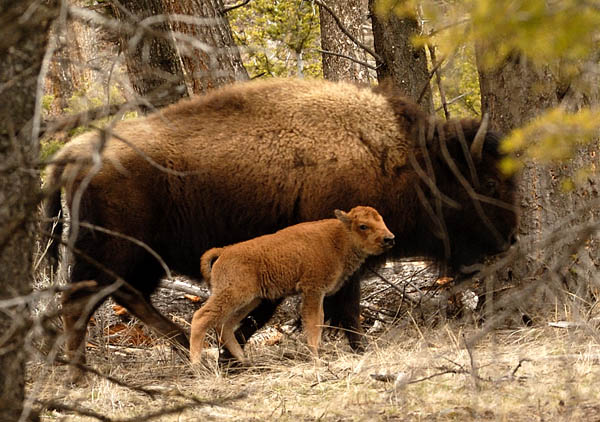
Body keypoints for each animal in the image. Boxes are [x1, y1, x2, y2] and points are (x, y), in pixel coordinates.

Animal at [191, 206, 394, 364]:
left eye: (382, 220)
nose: (389, 239)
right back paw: (196, 365)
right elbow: (314, 323)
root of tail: (224, 251)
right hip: (233, 295)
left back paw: (243, 359)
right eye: (363, 226)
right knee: (201, 317)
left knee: (226, 325)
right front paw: (316, 358)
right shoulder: (313, 290)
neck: (339, 236)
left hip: (250, 300)